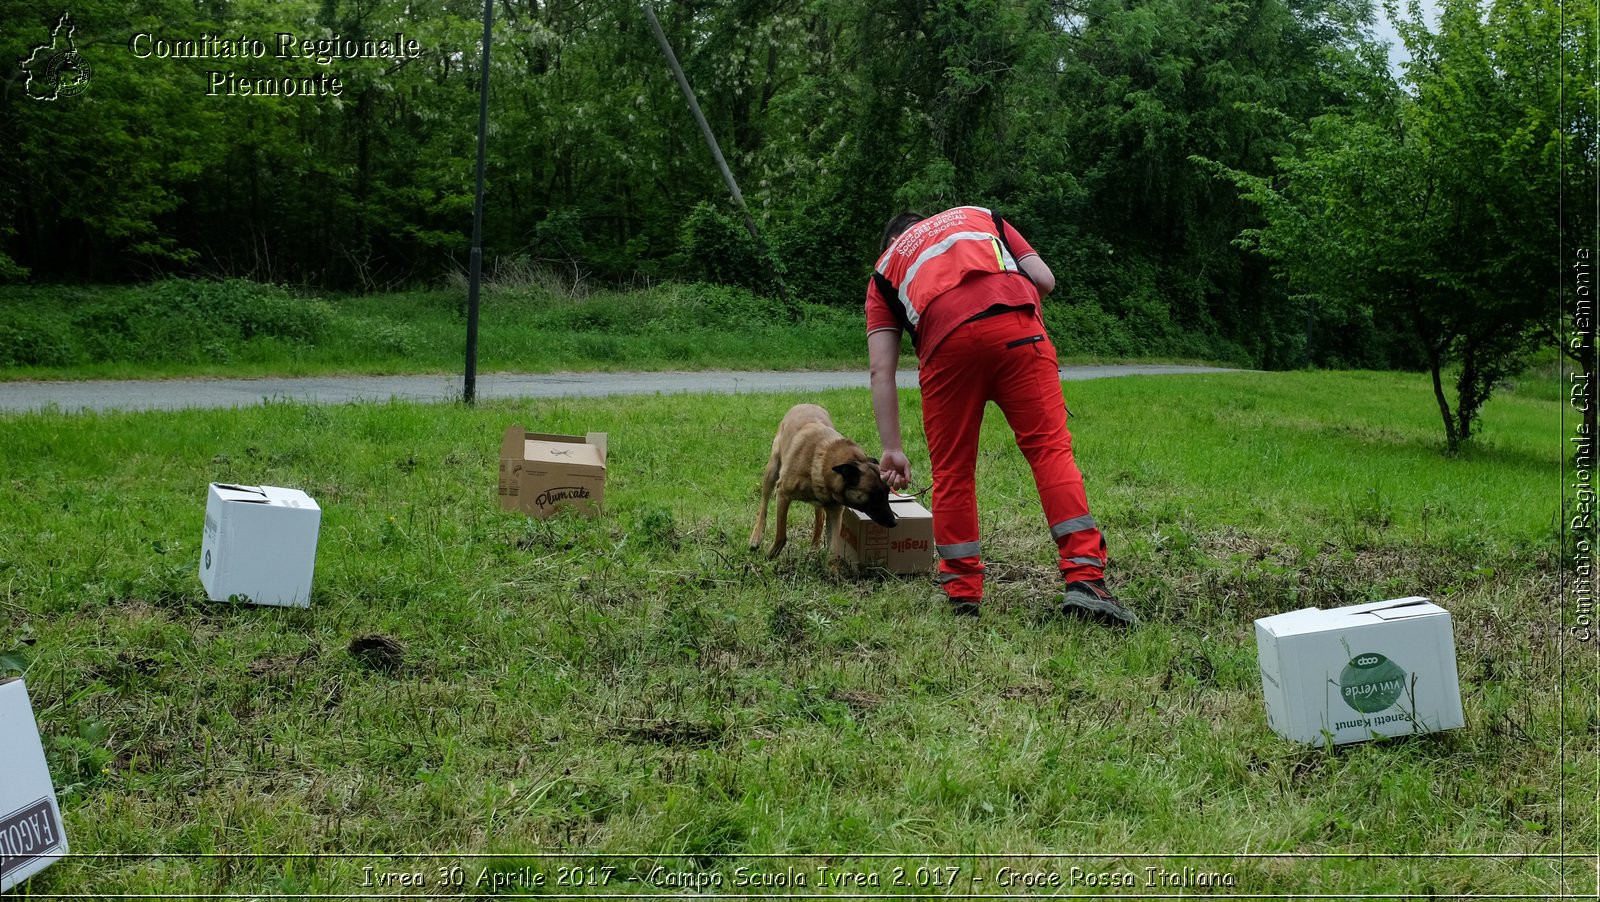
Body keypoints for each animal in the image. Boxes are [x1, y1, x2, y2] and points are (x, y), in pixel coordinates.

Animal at [752, 401, 902, 556]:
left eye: (887, 493)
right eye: (873, 494)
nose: (894, 522)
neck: (823, 460)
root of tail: (806, 403)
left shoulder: (835, 512)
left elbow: (833, 552)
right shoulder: (783, 494)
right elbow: (781, 534)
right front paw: (770, 555)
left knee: (819, 516)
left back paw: (814, 545)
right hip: (772, 469)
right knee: (764, 505)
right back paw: (756, 537)